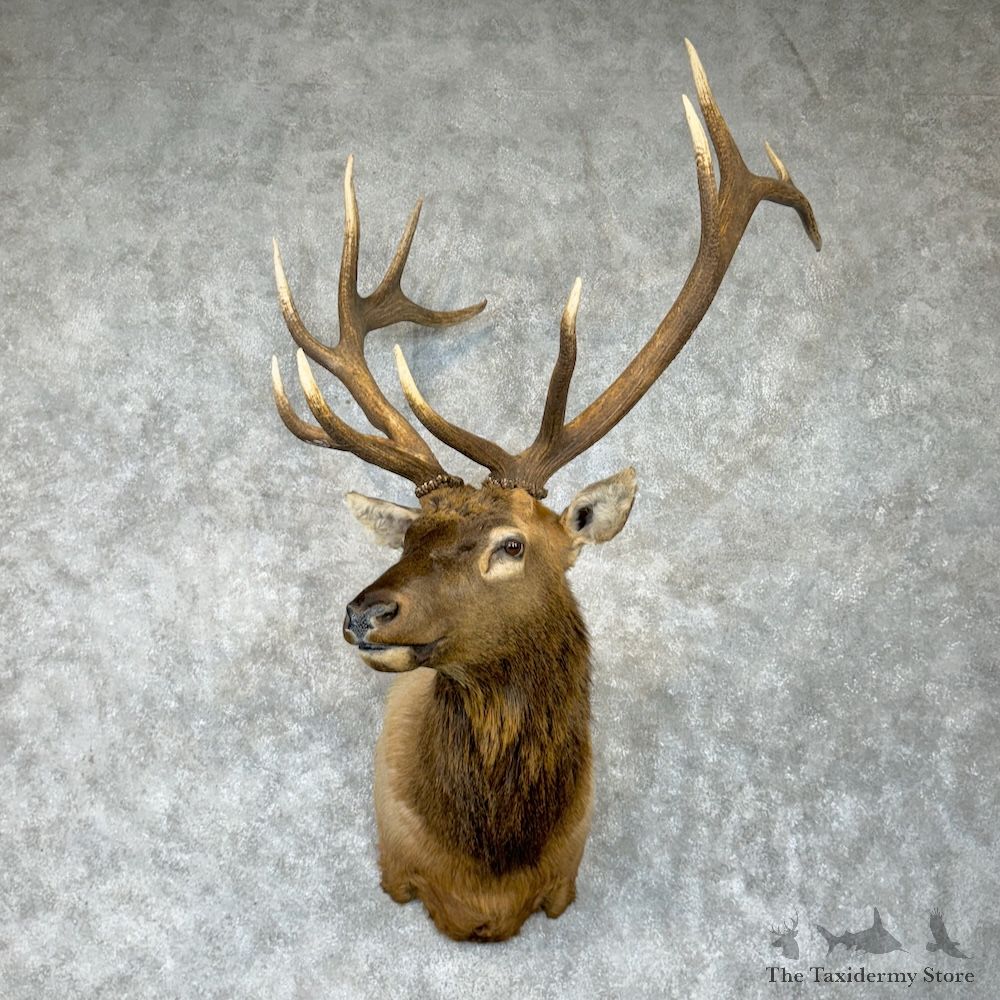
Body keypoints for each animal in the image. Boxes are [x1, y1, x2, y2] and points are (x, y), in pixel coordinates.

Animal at [269, 40, 821, 942]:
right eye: (409, 534)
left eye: (511, 544)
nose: (364, 612)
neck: (488, 877)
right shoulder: (397, 871)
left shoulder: (565, 883)